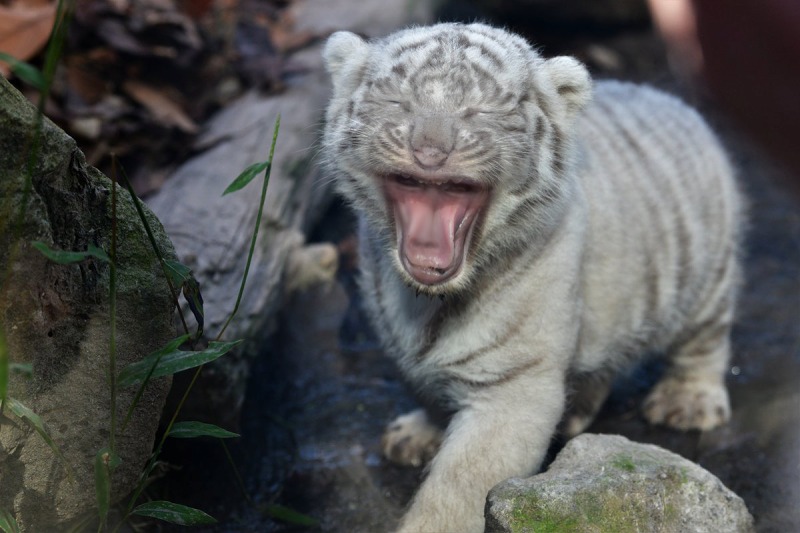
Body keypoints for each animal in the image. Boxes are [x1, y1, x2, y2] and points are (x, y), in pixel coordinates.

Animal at [322, 22, 743, 533]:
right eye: (397, 101)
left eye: (480, 110)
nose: (431, 151)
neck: (425, 300)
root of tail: (668, 99)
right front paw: (416, 434)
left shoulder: (513, 384)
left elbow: (459, 485)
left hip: (707, 275)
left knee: (704, 339)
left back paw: (687, 402)